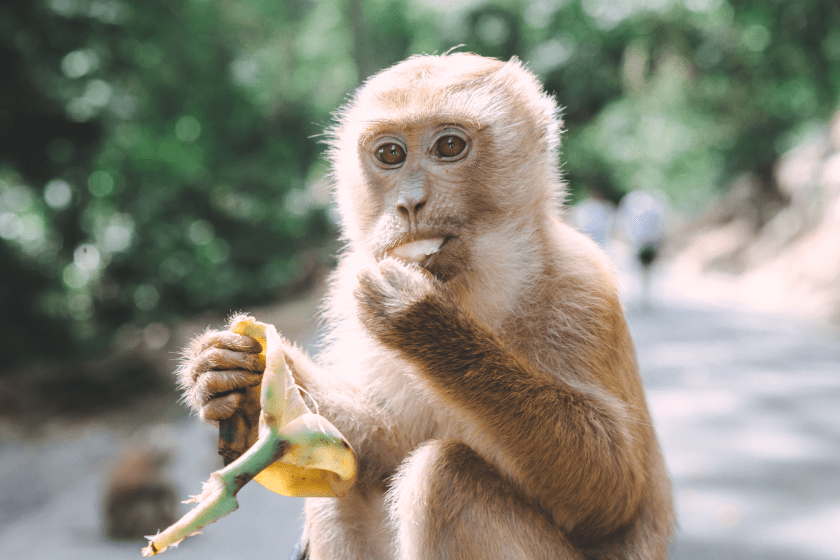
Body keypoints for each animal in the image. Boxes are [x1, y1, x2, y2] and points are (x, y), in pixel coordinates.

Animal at [179, 53, 675, 560]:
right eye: (390, 155)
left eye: (450, 146)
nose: (410, 203)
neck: (474, 287)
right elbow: (386, 447)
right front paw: (231, 376)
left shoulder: (583, 290)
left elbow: (613, 494)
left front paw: (423, 322)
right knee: (343, 490)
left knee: (444, 477)